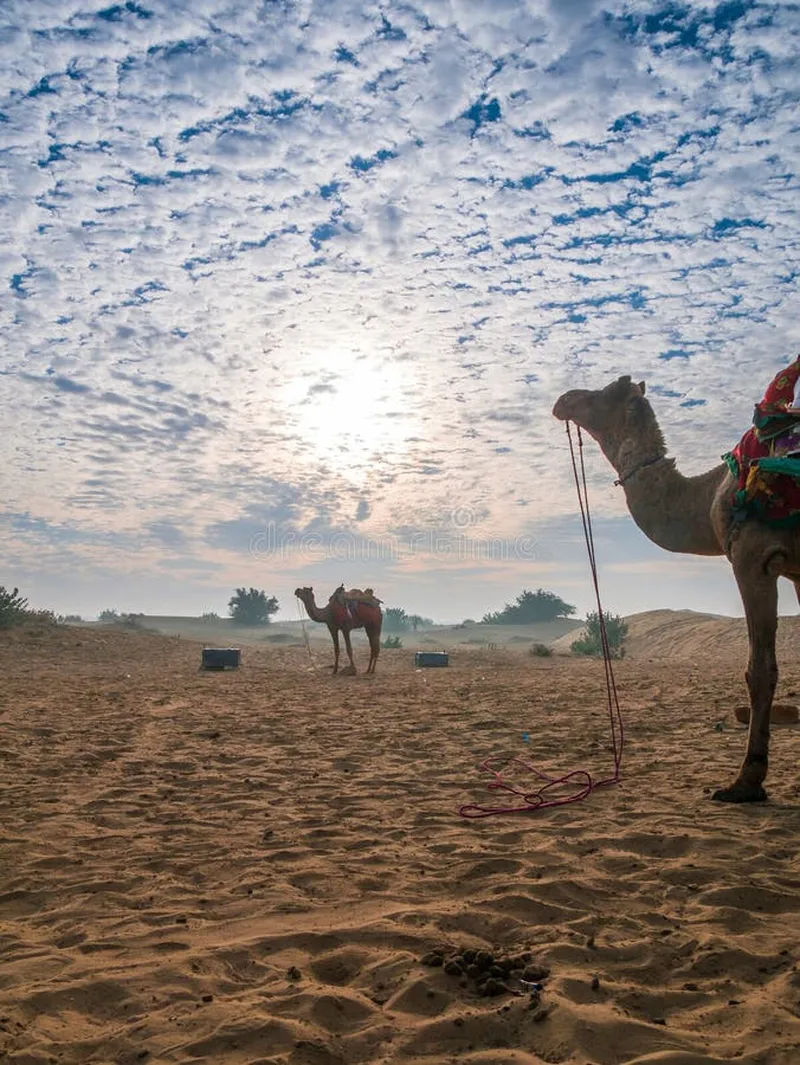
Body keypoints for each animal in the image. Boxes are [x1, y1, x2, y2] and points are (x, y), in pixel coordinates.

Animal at [553, 370, 800, 800]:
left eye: (601, 394)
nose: (563, 399)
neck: (707, 494)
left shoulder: (753, 555)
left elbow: (759, 670)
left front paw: (746, 782)